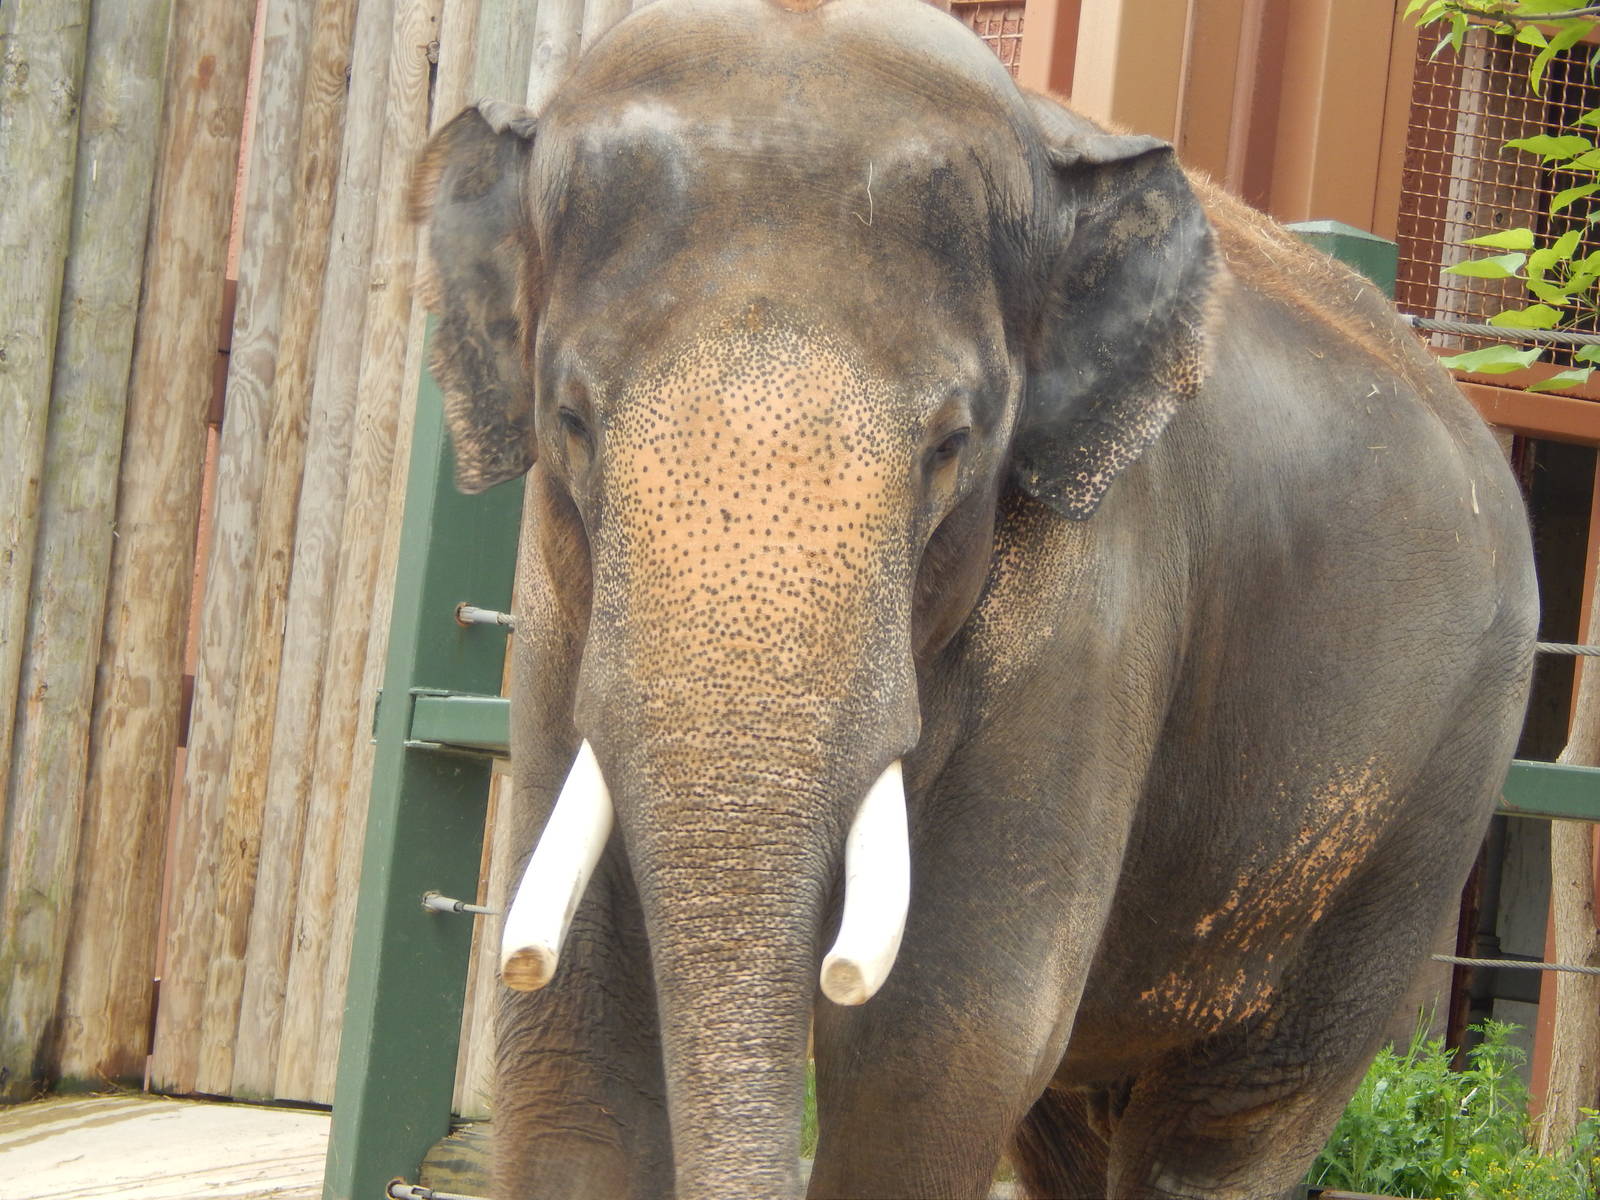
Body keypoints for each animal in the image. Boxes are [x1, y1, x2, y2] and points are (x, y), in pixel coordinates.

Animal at [408, 0, 1537, 1196]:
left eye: (950, 446)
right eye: (573, 421)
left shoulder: (1099, 597)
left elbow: (943, 1040)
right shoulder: (555, 609)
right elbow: (574, 1027)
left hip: (1436, 790)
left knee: (1235, 1112)